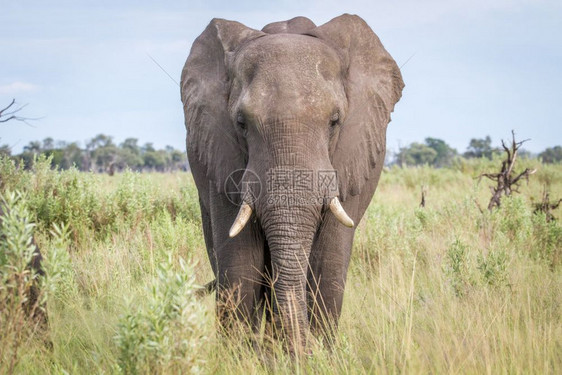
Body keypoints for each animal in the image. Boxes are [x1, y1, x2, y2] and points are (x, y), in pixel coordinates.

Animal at [179, 13, 402, 352]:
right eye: (241, 123)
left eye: (335, 121)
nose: (303, 350)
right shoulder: (222, 157)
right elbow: (241, 266)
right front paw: (244, 357)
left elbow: (327, 264)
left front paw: (319, 355)